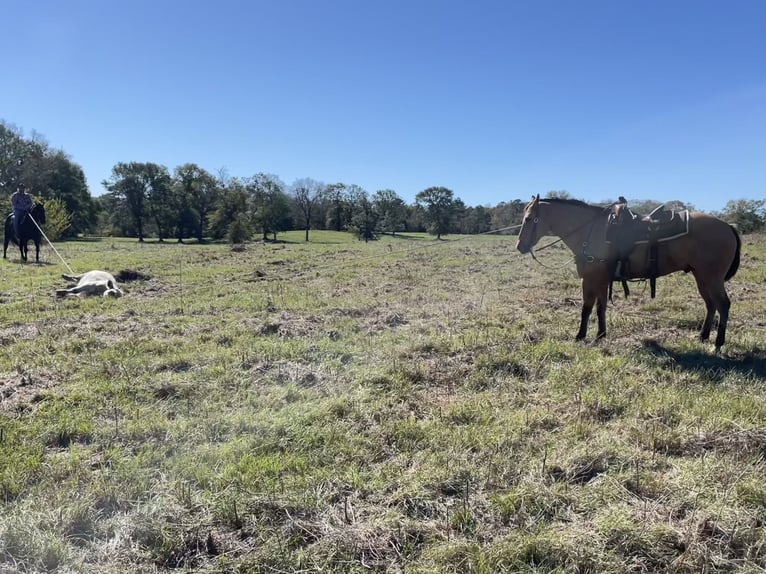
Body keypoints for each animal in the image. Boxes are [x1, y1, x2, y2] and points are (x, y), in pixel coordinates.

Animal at [520, 197, 740, 352]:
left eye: (529, 218)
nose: (520, 246)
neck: (591, 229)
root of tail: (728, 226)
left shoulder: (592, 278)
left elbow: (587, 308)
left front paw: (580, 336)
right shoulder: (601, 279)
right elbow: (600, 307)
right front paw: (600, 335)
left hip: (712, 278)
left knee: (723, 305)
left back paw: (718, 344)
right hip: (701, 276)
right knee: (710, 305)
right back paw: (703, 336)